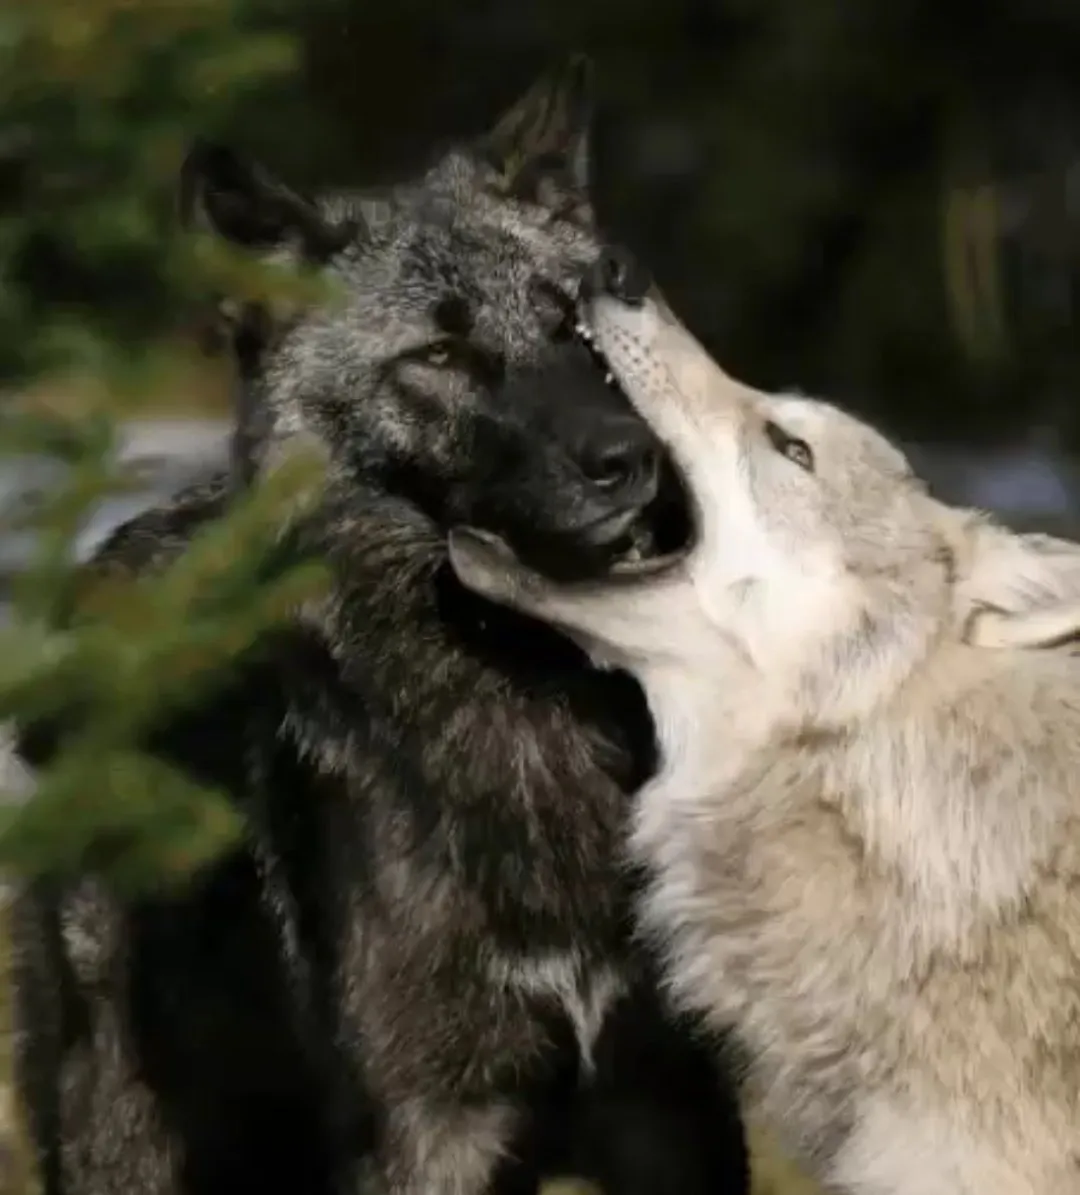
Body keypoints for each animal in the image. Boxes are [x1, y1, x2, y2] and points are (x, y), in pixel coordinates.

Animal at [10, 60, 750, 1195]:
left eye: (579, 328)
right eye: (439, 354)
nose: (632, 460)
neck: (534, 705)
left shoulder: (672, 1111)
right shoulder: (427, 1127)